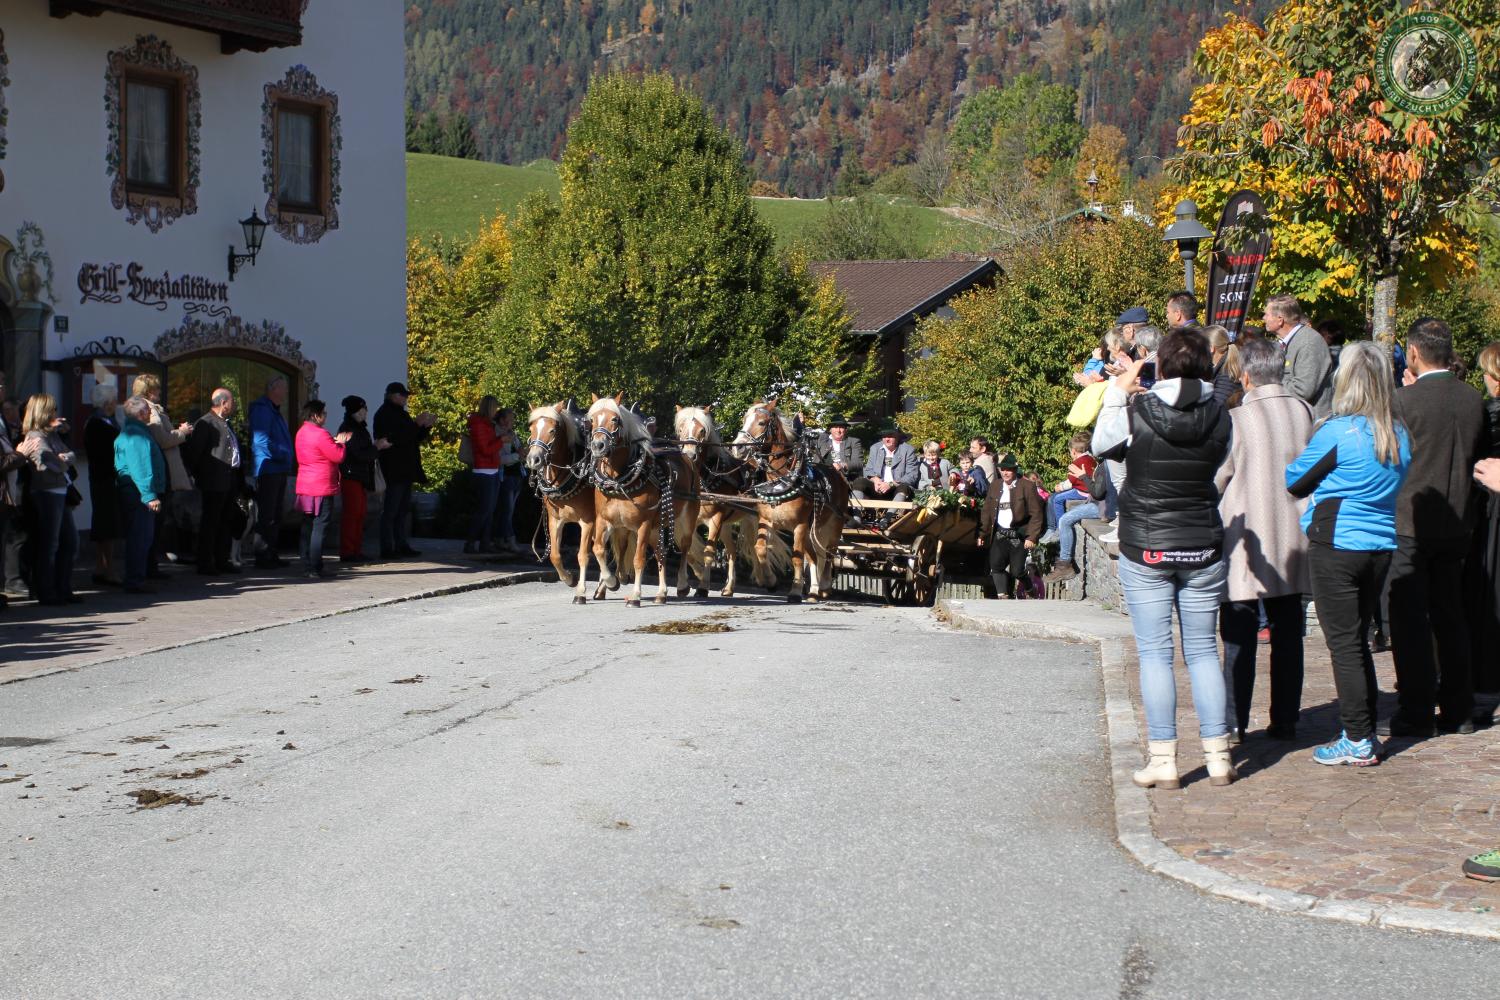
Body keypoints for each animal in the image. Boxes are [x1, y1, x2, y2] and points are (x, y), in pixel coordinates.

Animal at [526, 401, 612, 604]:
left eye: (552, 430)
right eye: (531, 429)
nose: (534, 459)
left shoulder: (588, 521)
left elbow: (583, 555)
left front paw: (580, 592)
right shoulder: (555, 520)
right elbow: (555, 555)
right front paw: (569, 579)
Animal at [587, 394, 708, 606]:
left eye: (615, 419)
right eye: (592, 420)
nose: (598, 446)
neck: (619, 481)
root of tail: (687, 458)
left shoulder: (642, 524)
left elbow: (638, 559)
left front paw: (635, 596)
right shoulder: (605, 521)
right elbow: (599, 549)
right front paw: (611, 582)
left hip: (685, 519)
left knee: (684, 548)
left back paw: (682, 585)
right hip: (655, 527)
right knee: (661, 554)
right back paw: (661, 593)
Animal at [674, 405, 790, 597]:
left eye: (702, 430)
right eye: (681, 429)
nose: (690, 454)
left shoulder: (716, 518)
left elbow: (708, 551)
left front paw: (703, 586)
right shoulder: (689, 519)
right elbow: (687, 548)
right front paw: (695, 577)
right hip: (729, 524)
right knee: (732, 551)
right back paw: (730, 587)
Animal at [732, 399, 849, 603]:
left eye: (761, 422)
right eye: (744, 419)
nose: (738, 447)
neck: (782, 481)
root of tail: (838, 474)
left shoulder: (800, 525)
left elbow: (797, 557)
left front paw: (794, 591)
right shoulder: (767, 520)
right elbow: (760, 548)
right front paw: (771, 582)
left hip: (834, 526)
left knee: (828, 554)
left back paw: (824, 586)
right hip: (812, 530)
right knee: (814, 556)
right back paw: (813, 591)